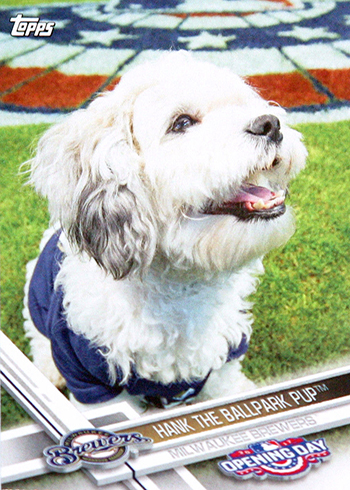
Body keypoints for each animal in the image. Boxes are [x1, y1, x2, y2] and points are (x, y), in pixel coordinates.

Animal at [23, 50, 306, 410]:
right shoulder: (89, 378)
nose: (270, 123)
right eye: (181, 123)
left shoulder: (224, 355)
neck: (179, 287)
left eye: (243, 104)